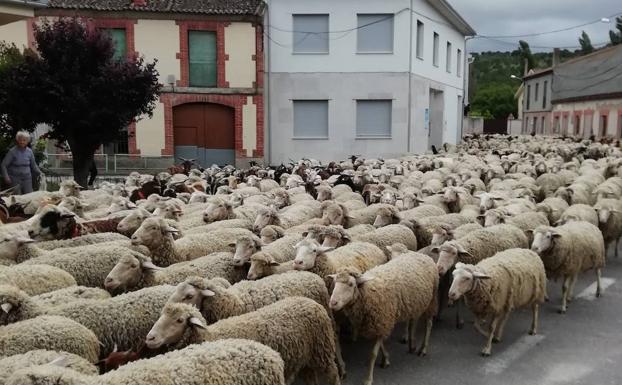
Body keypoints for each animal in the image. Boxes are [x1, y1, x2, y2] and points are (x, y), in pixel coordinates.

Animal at [146, 298, 342, 384]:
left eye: (179, 320)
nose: (150, 338)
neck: (209, 336)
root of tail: (311, 302)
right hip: (305, 356)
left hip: (322, 350)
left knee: (332, 374)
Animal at [332, 249, 438, 384]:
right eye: (334, 283)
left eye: (351, 284)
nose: (332, 303)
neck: (368, 291)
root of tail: (422, 254)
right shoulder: (380, 322)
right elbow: (381, 343)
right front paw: (386, 359)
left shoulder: (383, 319)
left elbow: (373, 354)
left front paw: (368, 379)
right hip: (415, 302)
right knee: (413, 320)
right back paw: (412, 344)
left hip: (432, 299)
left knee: (429, 323)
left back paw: (423, 349)